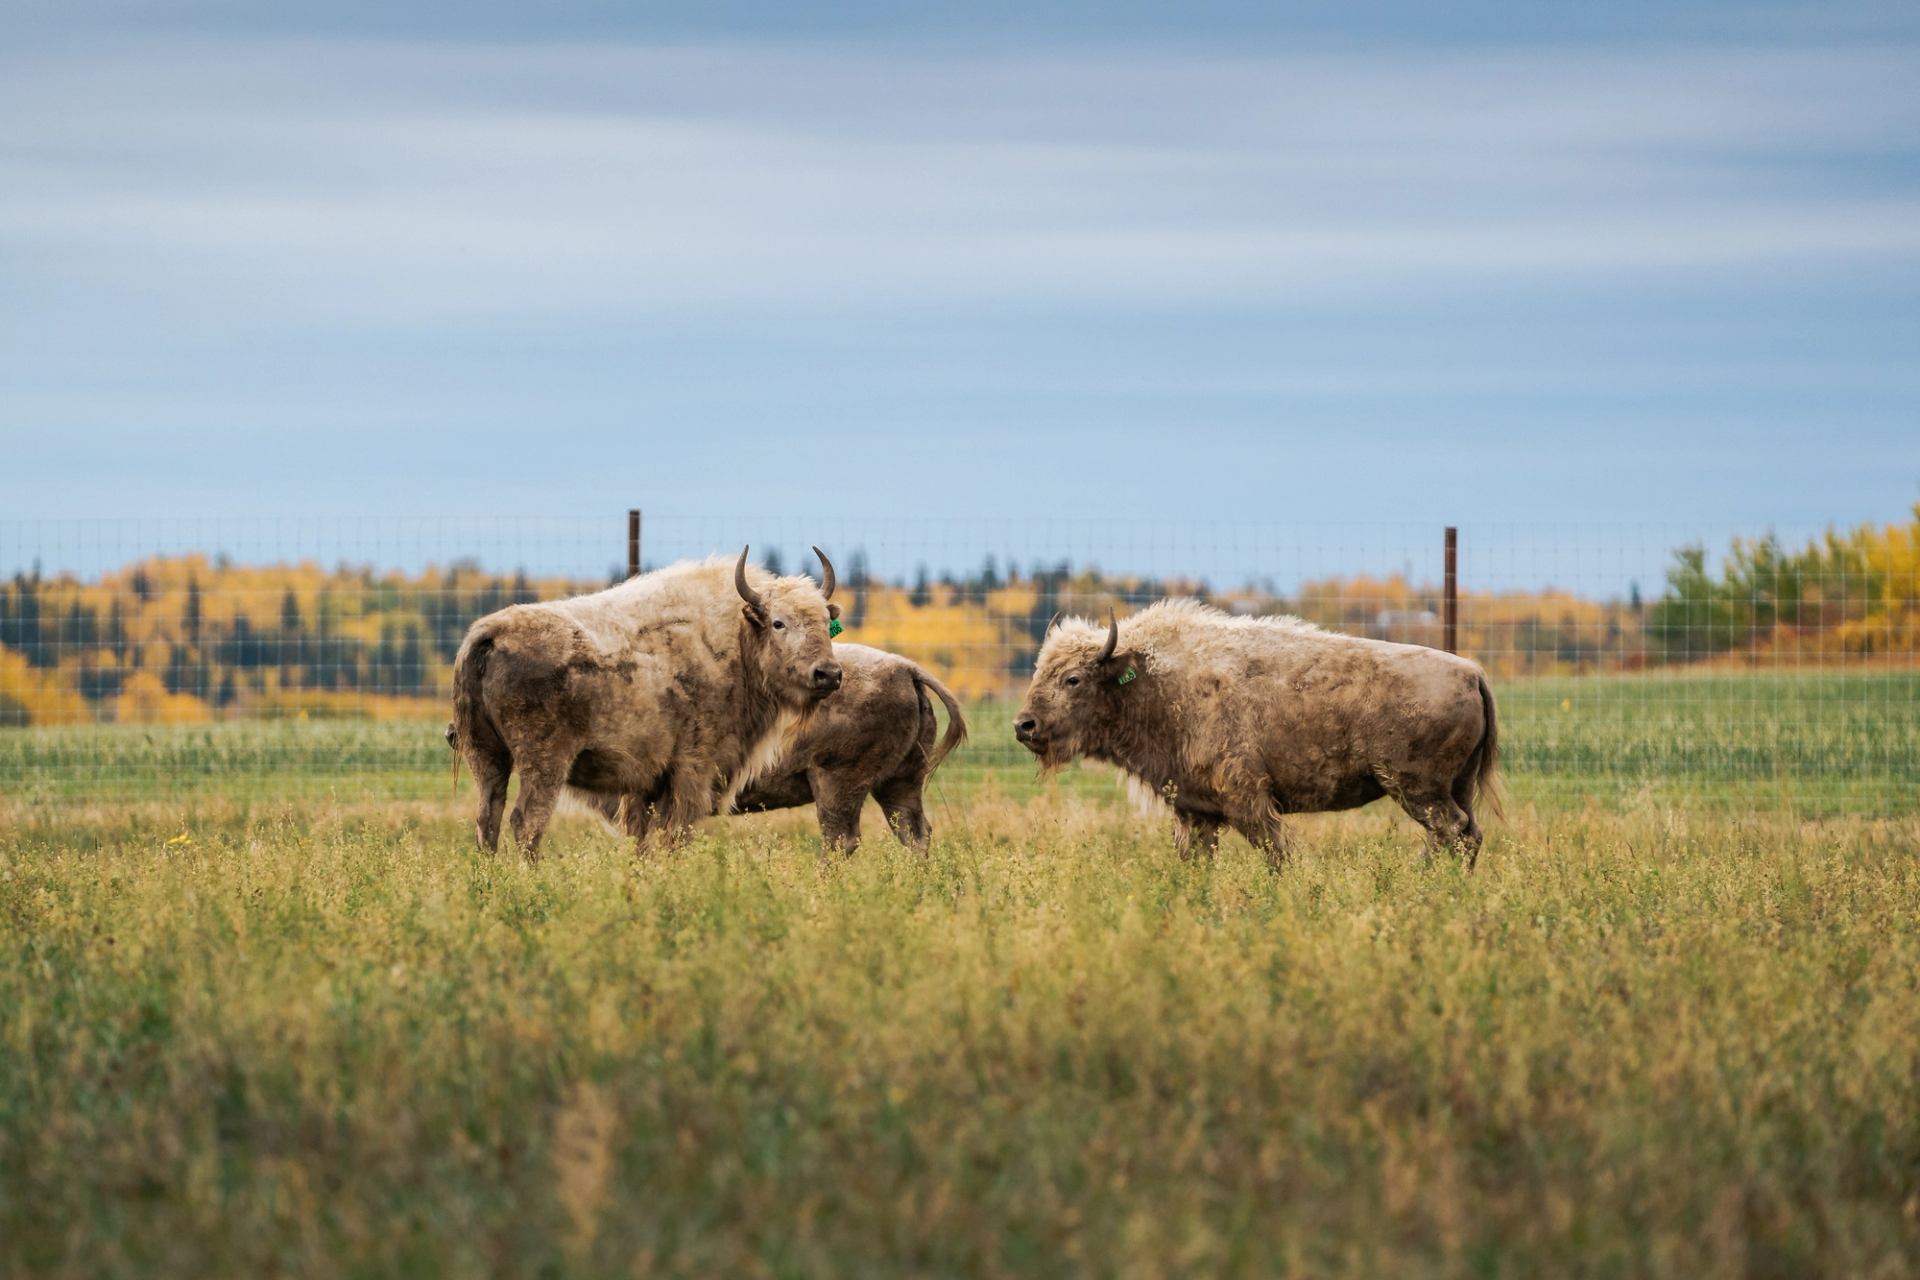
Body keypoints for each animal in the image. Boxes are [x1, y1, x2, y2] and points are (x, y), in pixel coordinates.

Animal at [453, 545, 844, 859]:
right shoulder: (692, 771)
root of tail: (489, 635)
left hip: (486, 757)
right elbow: (677, 835)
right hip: (544, 762)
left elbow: (642, 838)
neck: (735, 640)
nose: (828, 674)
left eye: (826, 621)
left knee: (487, 820)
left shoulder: (643, 787)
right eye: (778, 623)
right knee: (526, 822)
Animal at [1013, 602, 1489, 867]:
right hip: (1453, 788)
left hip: (1416, 789)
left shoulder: (1249, 803)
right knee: (1467, 835)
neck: (1150, 681)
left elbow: (1277, 855)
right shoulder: (1194, 811)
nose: (1024, 725)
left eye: (1073, 679)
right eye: (1039, 670)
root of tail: (1471, 673)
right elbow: (1194, 861)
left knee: (1450, 832)